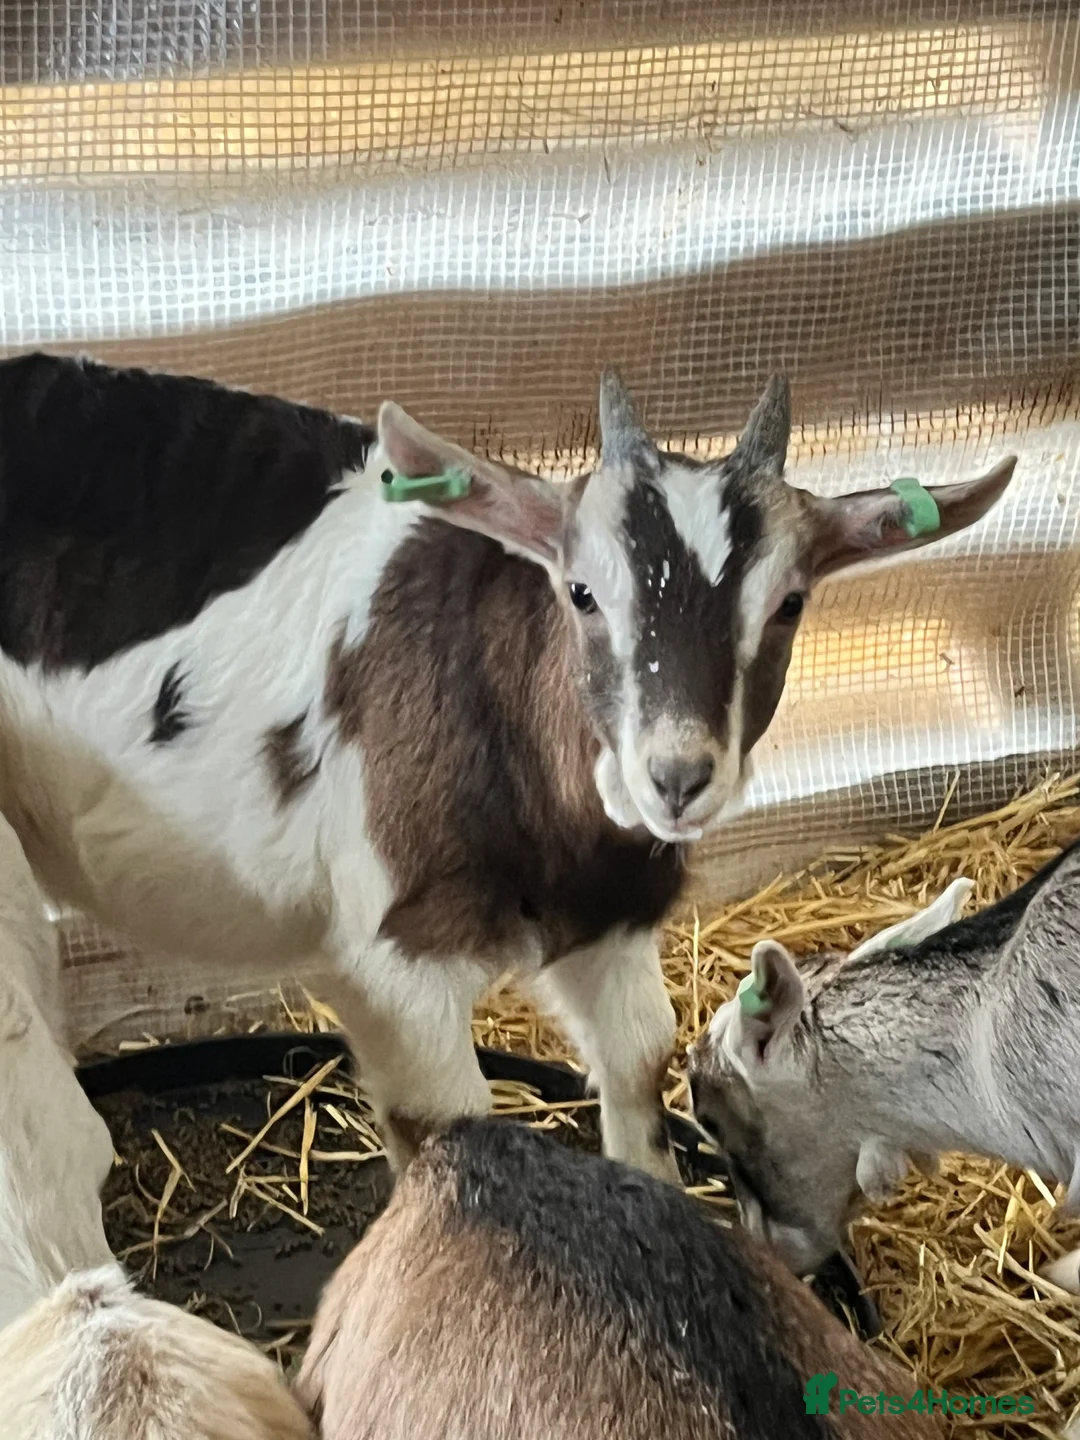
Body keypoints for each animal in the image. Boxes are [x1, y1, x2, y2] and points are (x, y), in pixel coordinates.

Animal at [0, 352, 1015, 1177]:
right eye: (580, 592)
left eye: (792, 603)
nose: (677, 777)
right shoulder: (400, 959)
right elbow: (446, 1124)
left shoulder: (612, 918)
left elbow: (638, 1062)